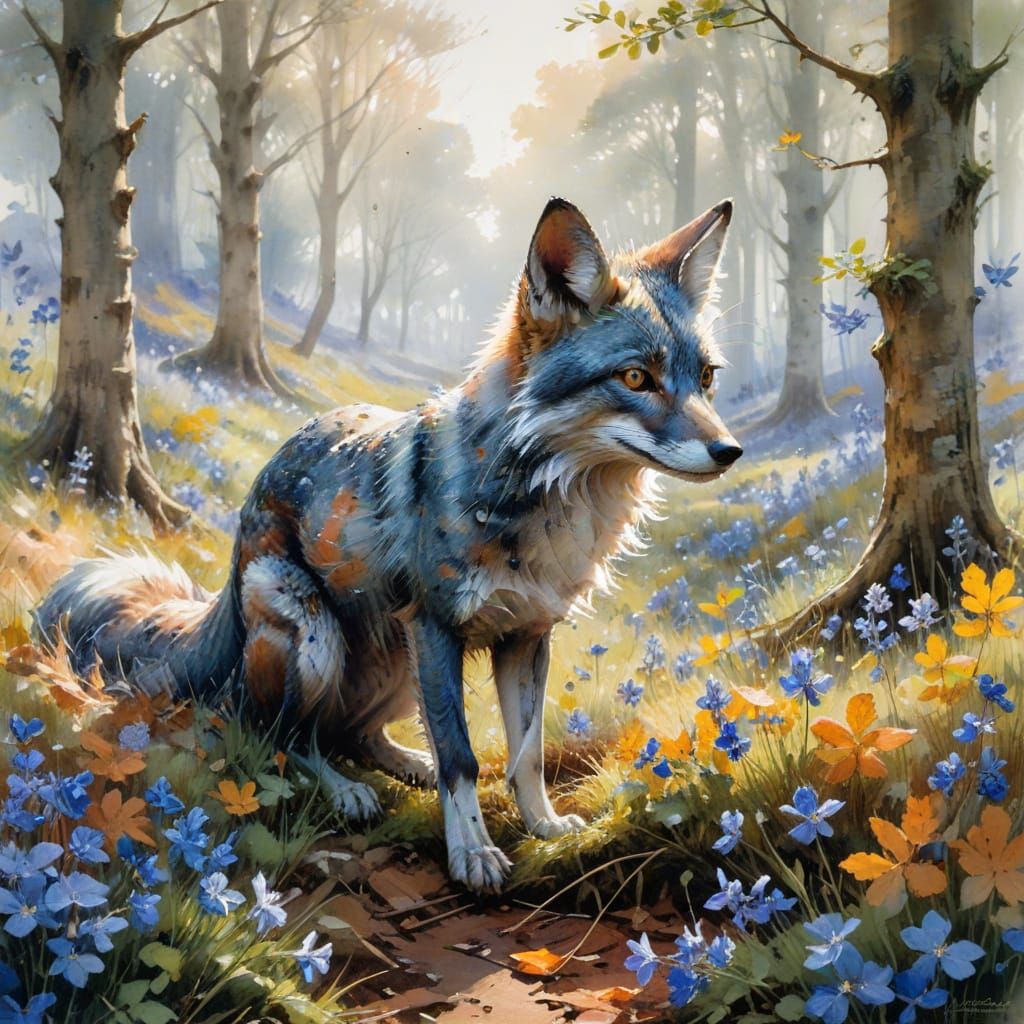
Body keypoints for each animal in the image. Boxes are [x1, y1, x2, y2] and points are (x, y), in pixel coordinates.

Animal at [36, 197, 743, 892]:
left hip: (397, 661)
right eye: (636, 377)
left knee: (352, 732)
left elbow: (527, 754)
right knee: (277, 736)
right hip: (320, 639)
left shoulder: (526, 635)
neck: (544, 504)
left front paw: (544, 828)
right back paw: (345, 789)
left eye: (707, 377)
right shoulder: (435, 626)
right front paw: (472, 854)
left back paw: (405, 763)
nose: (730, 452)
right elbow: (461, 756)